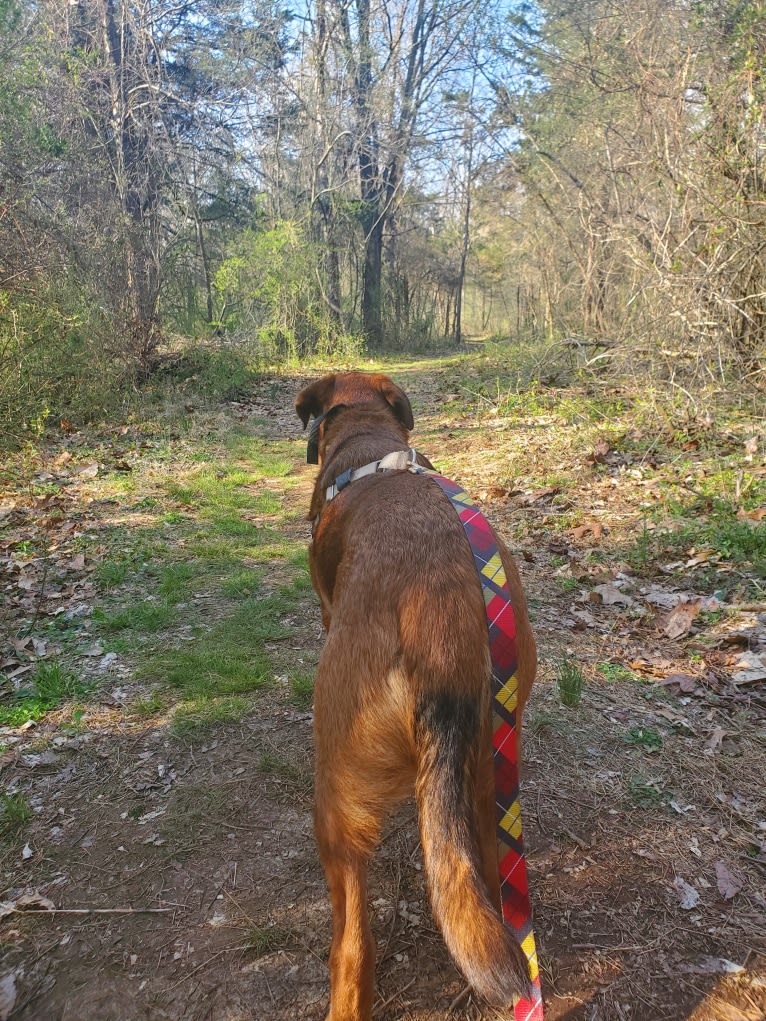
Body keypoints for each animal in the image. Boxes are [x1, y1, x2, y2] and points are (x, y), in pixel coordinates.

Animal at [296, 373, 535, 1021]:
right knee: (483, 885)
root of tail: (440, 626)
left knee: (354, 947)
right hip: (488, 774)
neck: (368, 435)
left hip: (335, 798)